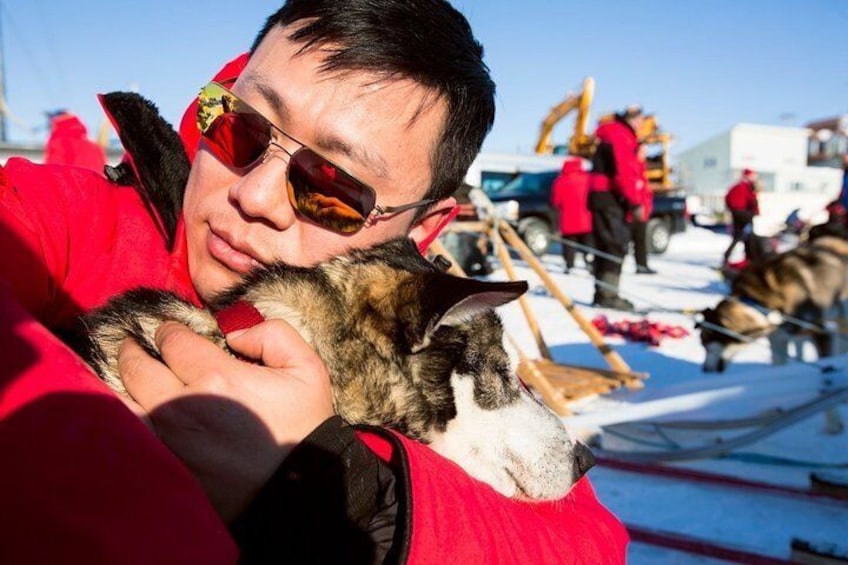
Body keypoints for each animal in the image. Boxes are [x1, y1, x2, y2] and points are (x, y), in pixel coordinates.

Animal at [700, 236, 848, 372]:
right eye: (703, 345)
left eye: (707, 345)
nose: (705, 370)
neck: (757, 303)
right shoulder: (778, 340)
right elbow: (779, 363)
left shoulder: (814, 332)